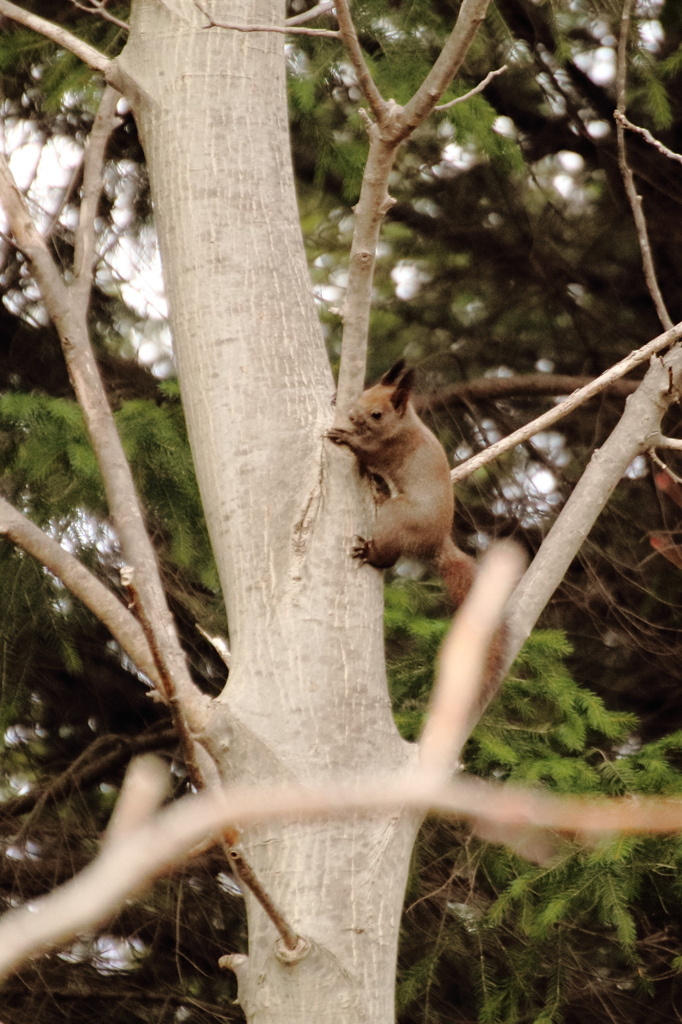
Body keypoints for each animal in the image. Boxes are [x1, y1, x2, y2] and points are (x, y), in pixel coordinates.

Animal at [327, 362, 507, 696]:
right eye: (364, 392)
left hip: (397, 516)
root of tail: (436, 543)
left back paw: (371, 554)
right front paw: (336, 400)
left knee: (390, 555)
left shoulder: (389, 449)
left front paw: (346, 437)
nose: (353, 415)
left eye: (377, 414)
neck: (405, 424)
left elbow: (367, 452)